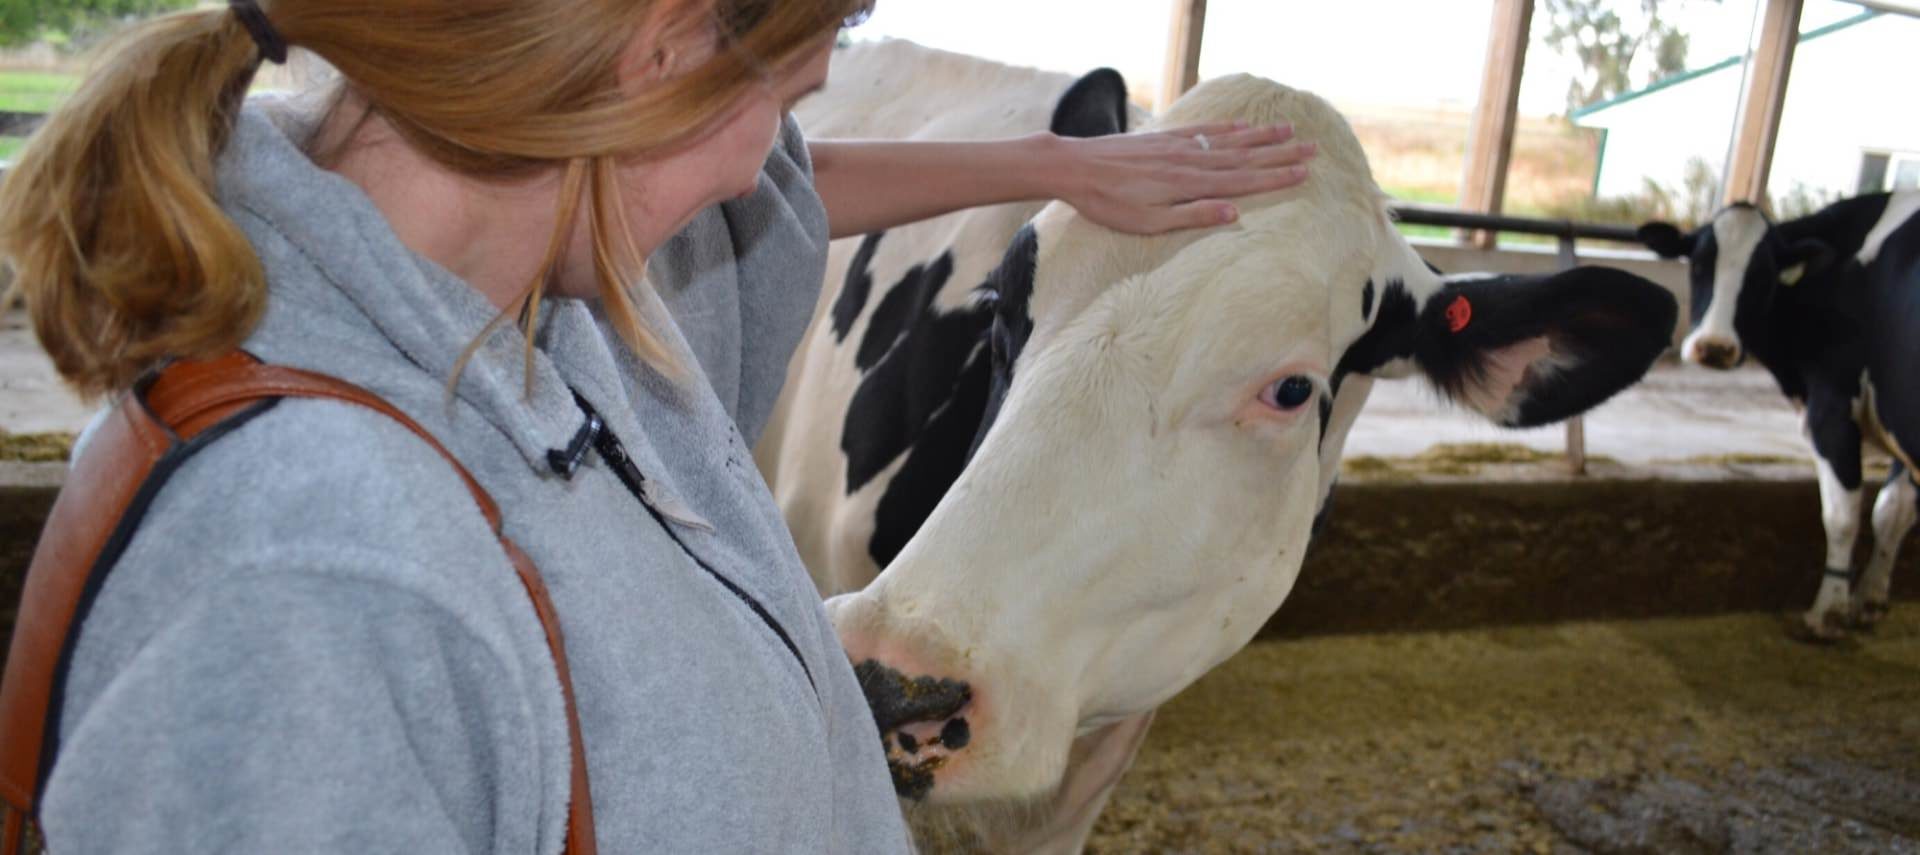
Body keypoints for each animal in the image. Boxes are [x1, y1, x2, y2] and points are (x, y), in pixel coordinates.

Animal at [1635, 191, 1920, 634]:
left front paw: (1827, 613)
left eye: (1762, 276)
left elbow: (1842, 514)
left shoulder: (1830, 404)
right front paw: (1869, 599)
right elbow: (1893, 508)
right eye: (1698, 264)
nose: (1714, 347)